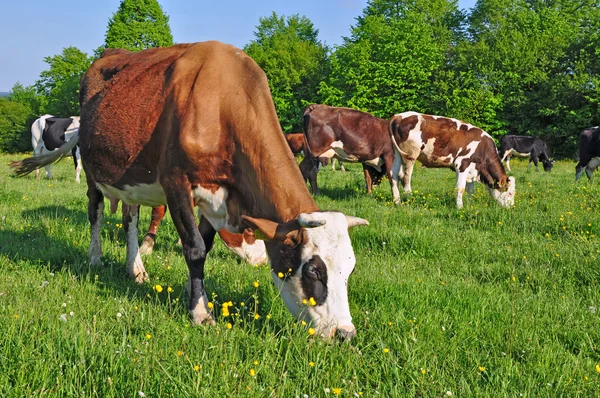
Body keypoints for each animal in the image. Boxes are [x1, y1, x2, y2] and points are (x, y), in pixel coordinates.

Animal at [12, 41, 370, 338]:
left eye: (350, 268)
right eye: (314, 270)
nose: (345, 333)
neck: (224, 102)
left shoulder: (217, 197)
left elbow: (205, 244)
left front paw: (191, 293)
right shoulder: (176, 182)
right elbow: (194, 248)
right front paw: (200, 312)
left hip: (131, 177)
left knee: (129, 219)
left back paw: (135, 268)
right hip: (90, 168)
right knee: (96, 212)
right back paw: (96, 257)